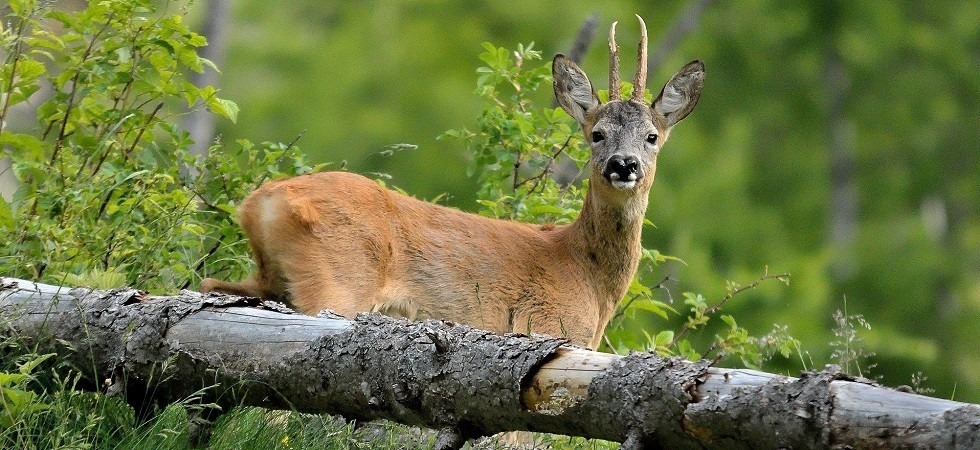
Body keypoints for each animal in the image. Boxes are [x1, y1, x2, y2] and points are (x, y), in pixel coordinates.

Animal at [203, 15, 700, 350]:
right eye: (596, 133)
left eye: (652, 136)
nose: (624, 164)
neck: (589, 275)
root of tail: (261, 202)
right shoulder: (544, 328)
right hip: (334, 284)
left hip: (265, 280)